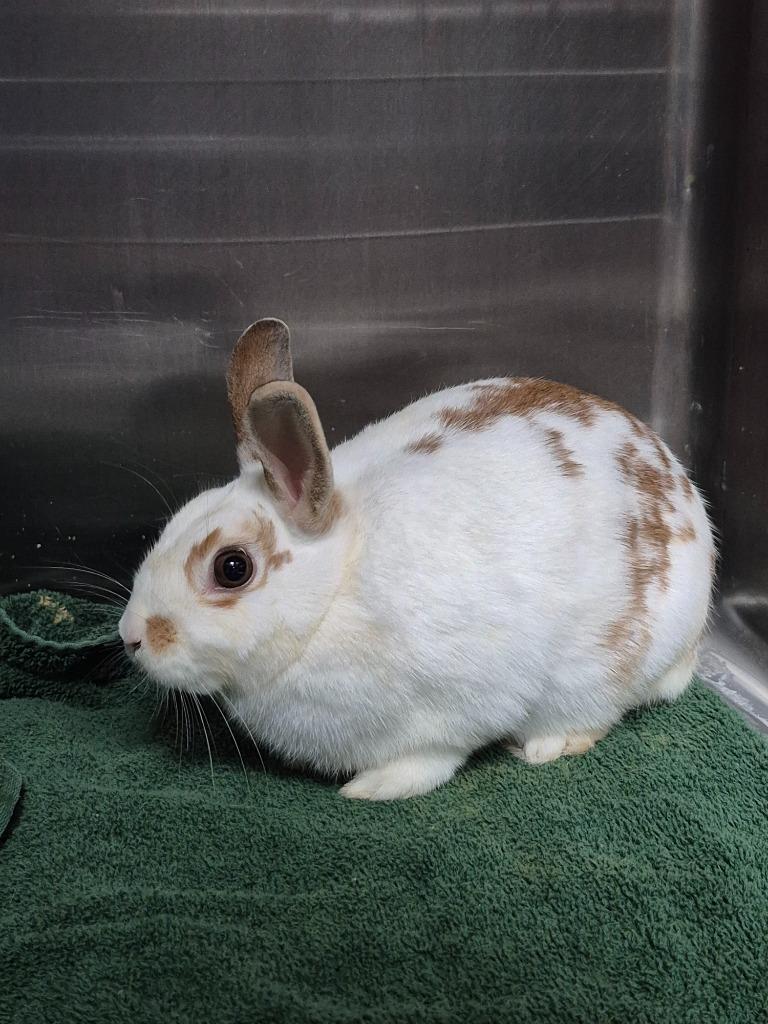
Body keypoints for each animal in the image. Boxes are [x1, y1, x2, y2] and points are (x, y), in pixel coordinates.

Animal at [119, 318, 715, 801]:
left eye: (232, 567)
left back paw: (548, 745)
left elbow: (432, 759)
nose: (131, 637)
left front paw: (372, 787)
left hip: (600, 673)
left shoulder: (458, 706)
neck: (334, 589)